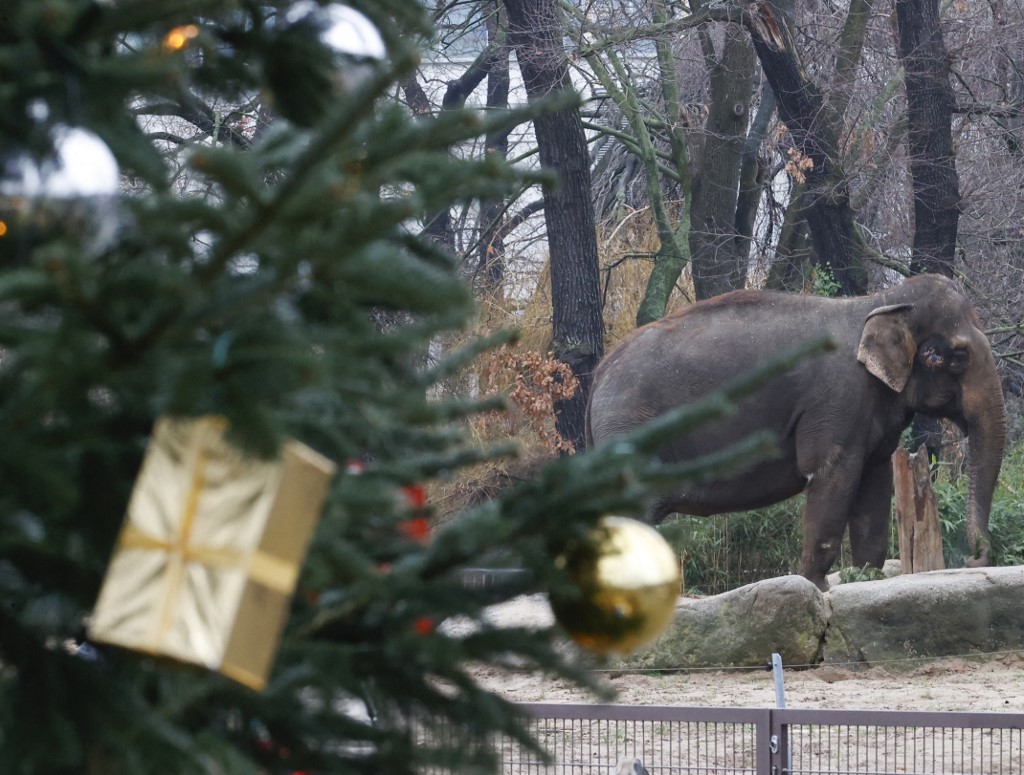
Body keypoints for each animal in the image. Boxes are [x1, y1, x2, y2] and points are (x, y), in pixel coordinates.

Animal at [585, 274, 1007, 589]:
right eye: (957, 357)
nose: (975, 558)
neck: (878, 302)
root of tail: (598, 376)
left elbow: (874, 484)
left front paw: (865, 579)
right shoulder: (837, 400)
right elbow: (832, 473)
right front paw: (814, 586)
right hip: (629, 433)